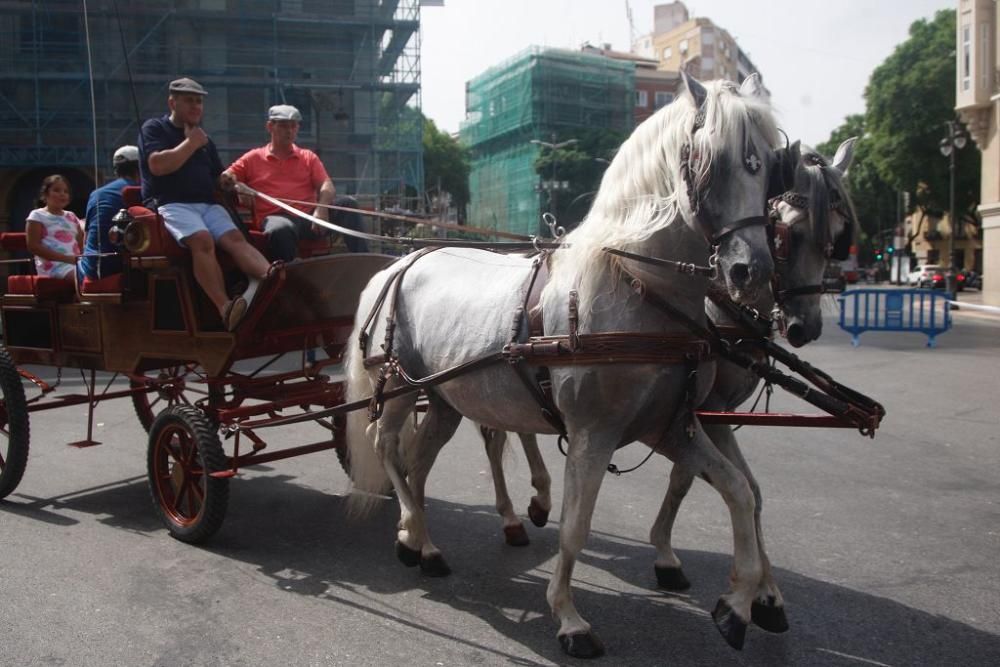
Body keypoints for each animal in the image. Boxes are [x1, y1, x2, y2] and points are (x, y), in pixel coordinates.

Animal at [348, 73, 784, 656]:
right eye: (710, 162)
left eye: (768, 166)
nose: (749, 270)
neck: (635, 287)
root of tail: (399, 263)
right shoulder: (592, 433)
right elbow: (576, 526)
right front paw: (569, 618)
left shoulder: (671, 426)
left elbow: (739, 490)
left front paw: (738, 604)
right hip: (396, 388)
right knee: (387, 448)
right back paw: (415, 527)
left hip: (443, 399)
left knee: (418, 459)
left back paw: (420, 542)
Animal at [476, 138, 860, 648]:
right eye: (788, 235)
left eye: (835, 238)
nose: (805, 327)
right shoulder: (705, 411)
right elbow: (688, 479)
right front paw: (670, 558)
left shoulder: (703, 414)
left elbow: (748, 489)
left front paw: (766, 595)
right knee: (496, 436)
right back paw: (514, 515)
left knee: (518, 428)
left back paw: (537, 499)